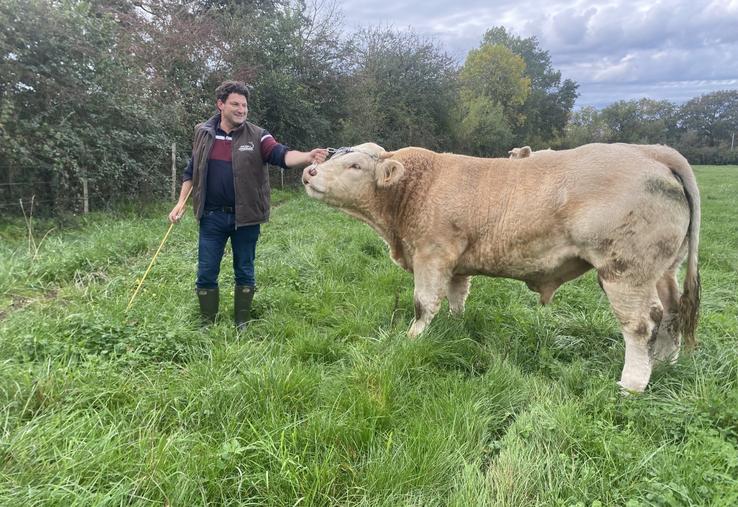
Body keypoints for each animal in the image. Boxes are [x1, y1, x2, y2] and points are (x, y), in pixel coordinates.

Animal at [302, 143, 700, 392]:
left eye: (354, 166)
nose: (309, 171)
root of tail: (651, 152)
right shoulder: (455, 263)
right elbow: (456, 297)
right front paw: (456, 327)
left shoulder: (431, 254)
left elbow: (423, 304)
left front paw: (411, 339)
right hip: (662, 270)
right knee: (671, 312)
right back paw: (665, 363)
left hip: (625, 270)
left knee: (640, 324)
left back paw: (632, 383)